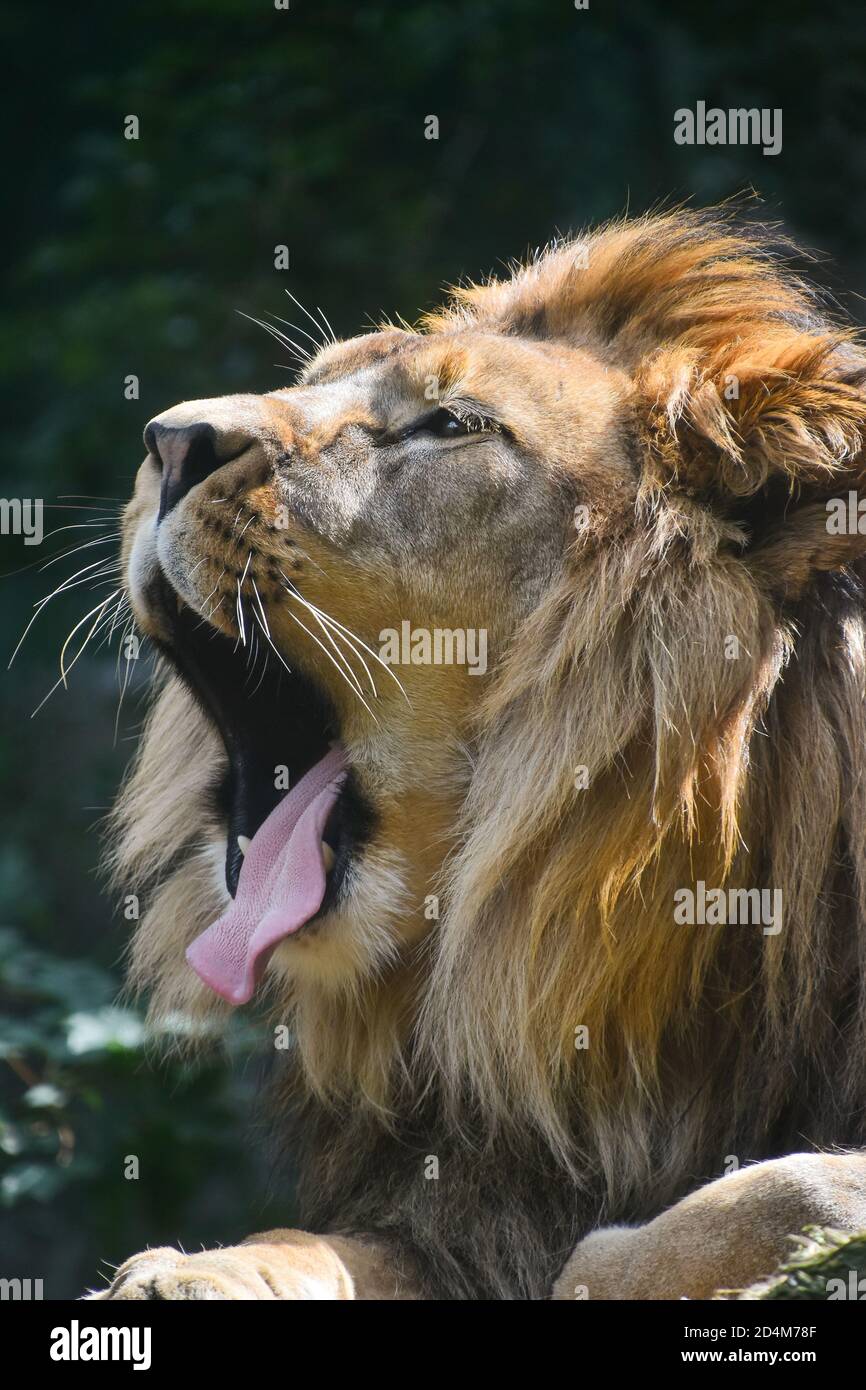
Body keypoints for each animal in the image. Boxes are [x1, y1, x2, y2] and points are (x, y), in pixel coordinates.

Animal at [92, 209, 866, 1300]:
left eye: (449, 424)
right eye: (317, 376)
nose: (167, 440)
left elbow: (787, 1190)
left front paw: (615, 1259)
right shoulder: (467, 1202)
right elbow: (322, 1242)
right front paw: (193, 1273)